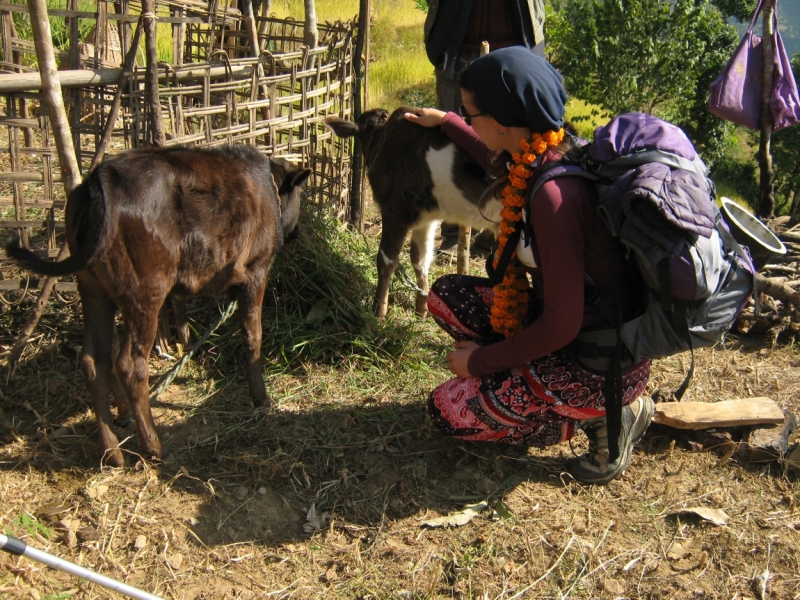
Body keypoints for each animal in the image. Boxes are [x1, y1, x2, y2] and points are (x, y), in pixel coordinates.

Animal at [7, 146, 312, 468]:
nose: (296, 232)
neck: (268, 187)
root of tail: (102, 179)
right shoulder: (256, 272)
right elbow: (252, 335)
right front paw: (261, 399)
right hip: (146, 294)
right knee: (130, 365)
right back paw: (155, 447)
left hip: (94, 291)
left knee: (94, 361)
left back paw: (113, 450)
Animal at [322, 107, 496, 318]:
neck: (381, 135)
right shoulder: (427, 217)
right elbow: (420, 260)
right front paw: (422, 309)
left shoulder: (395, 209)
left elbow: (386, 260)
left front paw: (378, 311)